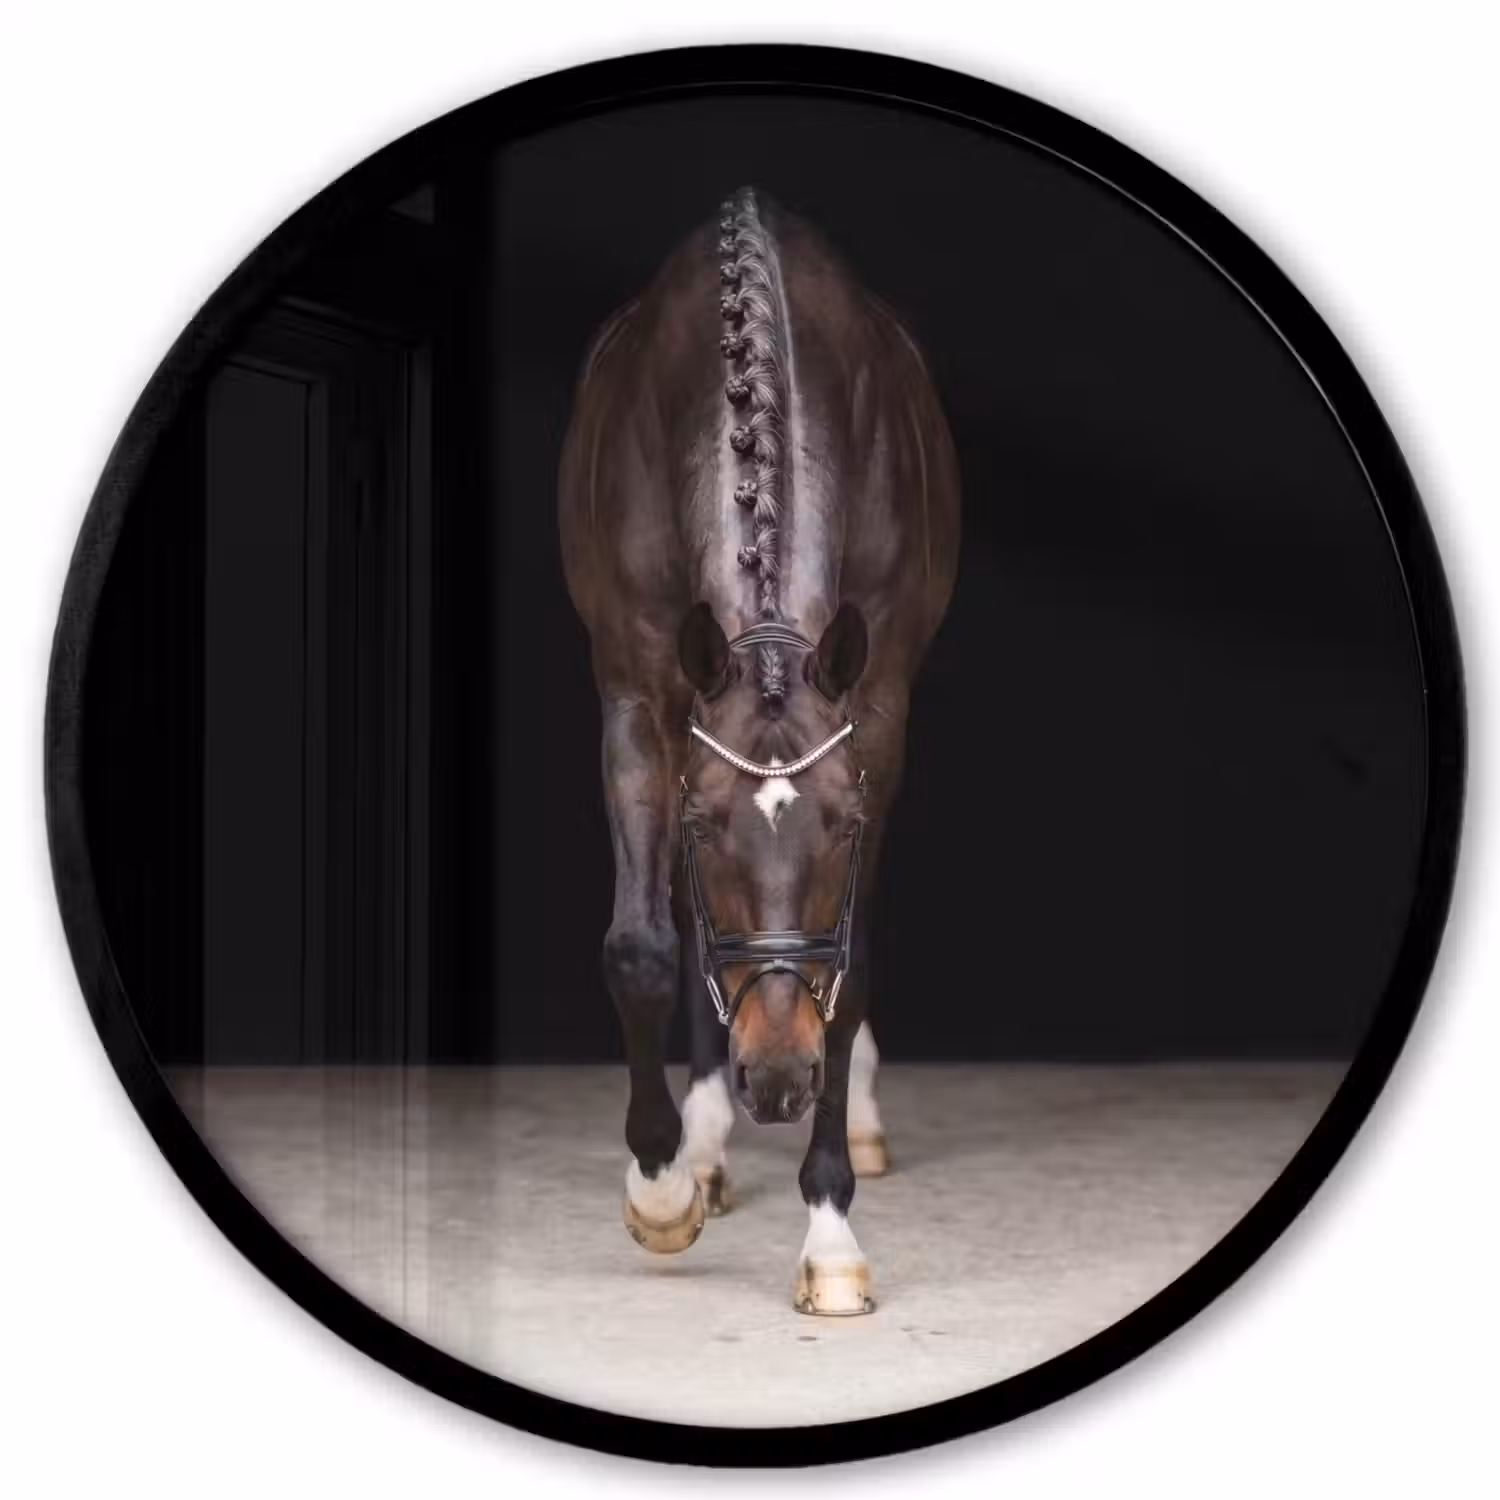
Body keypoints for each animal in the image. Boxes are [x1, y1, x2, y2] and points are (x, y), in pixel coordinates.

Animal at [559, 186, 960, 1314]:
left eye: (845, 826)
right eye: (703, 829)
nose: (778, 1079)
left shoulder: (879, 711)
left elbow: (847, 967)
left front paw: (829, 1236)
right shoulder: (637, 693)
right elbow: (646, 946)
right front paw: (661, 1187)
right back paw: (703, 1148)